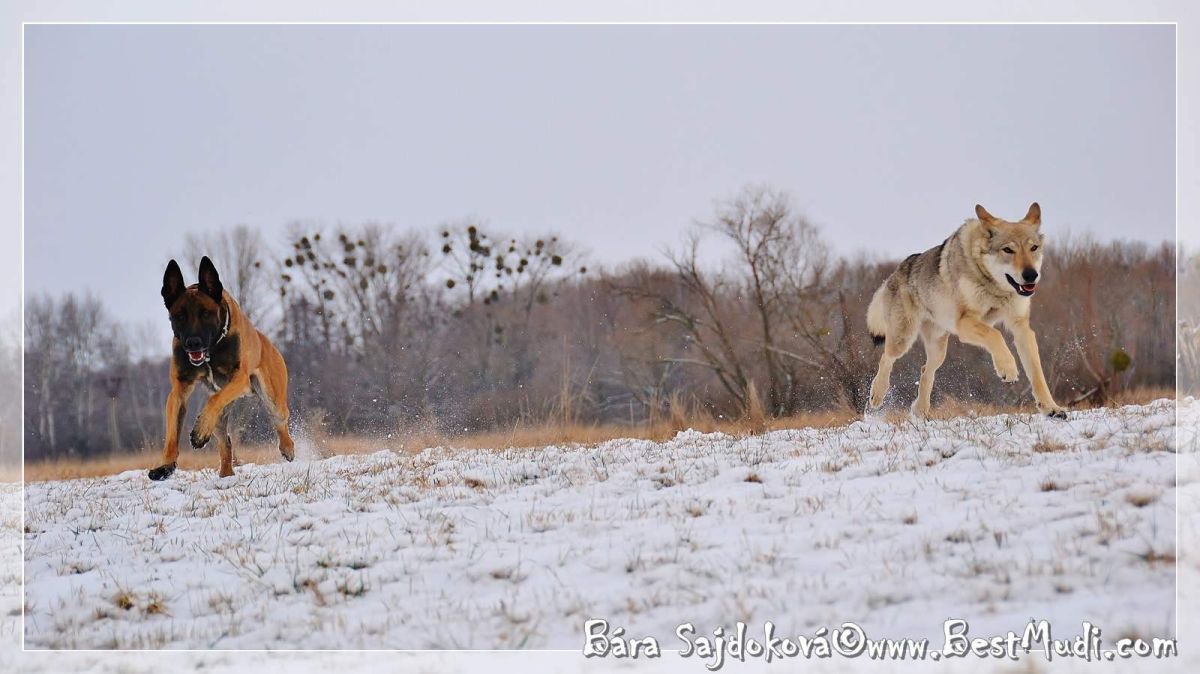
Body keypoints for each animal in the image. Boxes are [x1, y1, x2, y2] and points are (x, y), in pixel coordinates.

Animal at [150, 253, 295, 477]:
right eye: (180, 316)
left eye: (205, 313)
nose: (193, 343)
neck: (212, 350)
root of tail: (267, 342)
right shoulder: (179, 391)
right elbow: (172, 432)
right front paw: (165, 465)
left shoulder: (239, 379)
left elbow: (215, 399)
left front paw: (199, 432)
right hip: (221, 420)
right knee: (225, 441)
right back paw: (226, 473)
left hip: (273, 398)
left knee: (280, 421)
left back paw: (287, 448)